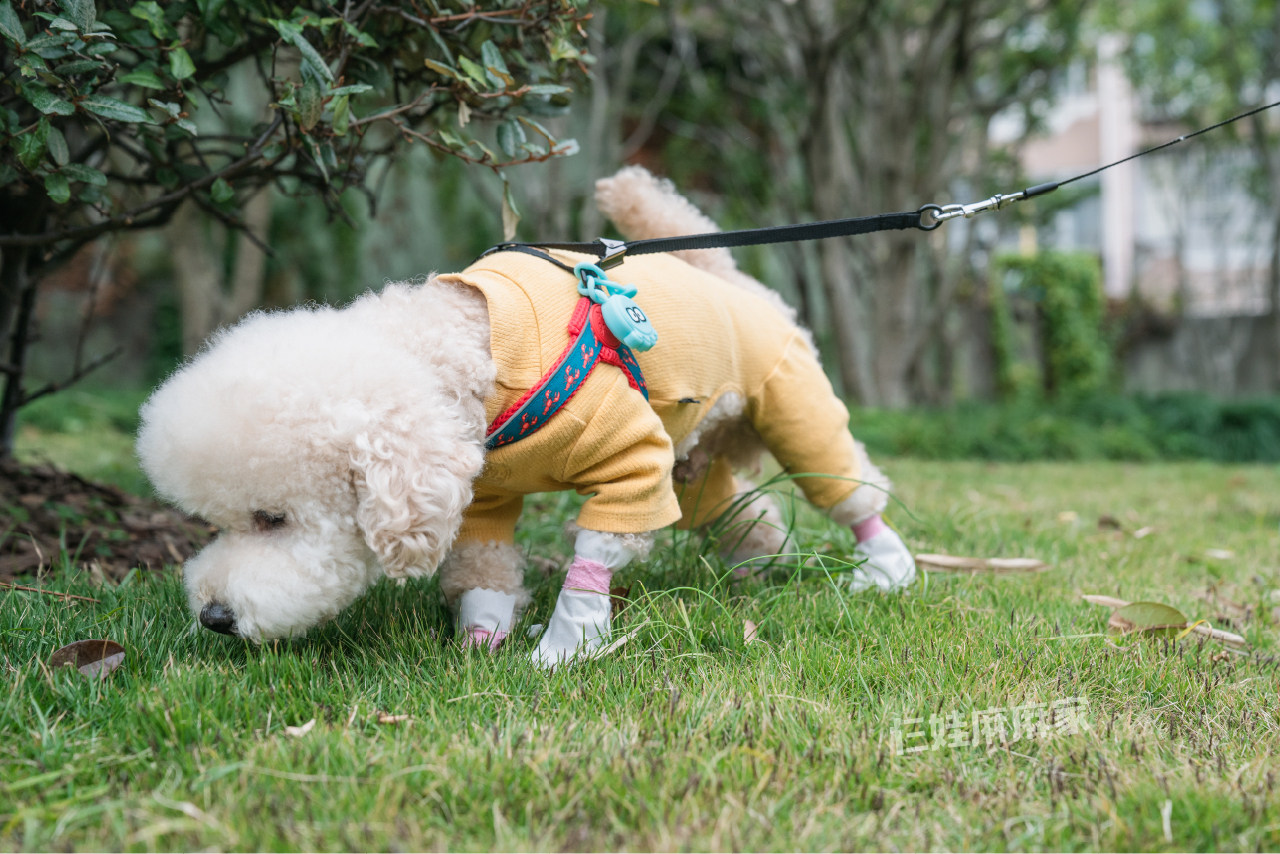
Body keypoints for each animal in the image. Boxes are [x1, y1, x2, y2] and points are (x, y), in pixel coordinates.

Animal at [137, 167, 915, 665]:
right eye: (215, 522)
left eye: (273, 519)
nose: (214, 617)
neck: (474, 355)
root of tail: (724, 276)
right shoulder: (480, 492)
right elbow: (483, 564)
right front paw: (481, 639)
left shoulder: (632, 461)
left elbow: (597, 555)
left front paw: (566, 646)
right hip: (690, 464)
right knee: (741, 512)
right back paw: (758, 567)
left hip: (791, 403)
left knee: (847, 486)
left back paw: (888, 570)